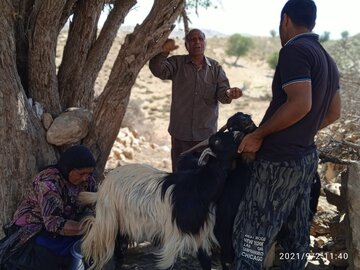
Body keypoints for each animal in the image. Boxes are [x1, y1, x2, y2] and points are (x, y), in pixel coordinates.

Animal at [77, 130, 243, 268]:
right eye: (217, 141)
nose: (238, 133)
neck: (198, 188)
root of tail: (104, 185)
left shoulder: (199, 233)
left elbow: (205, 261)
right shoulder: (173, 236)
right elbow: (167, 264)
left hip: (123, 222)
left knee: (120, 247)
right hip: (110, 218)